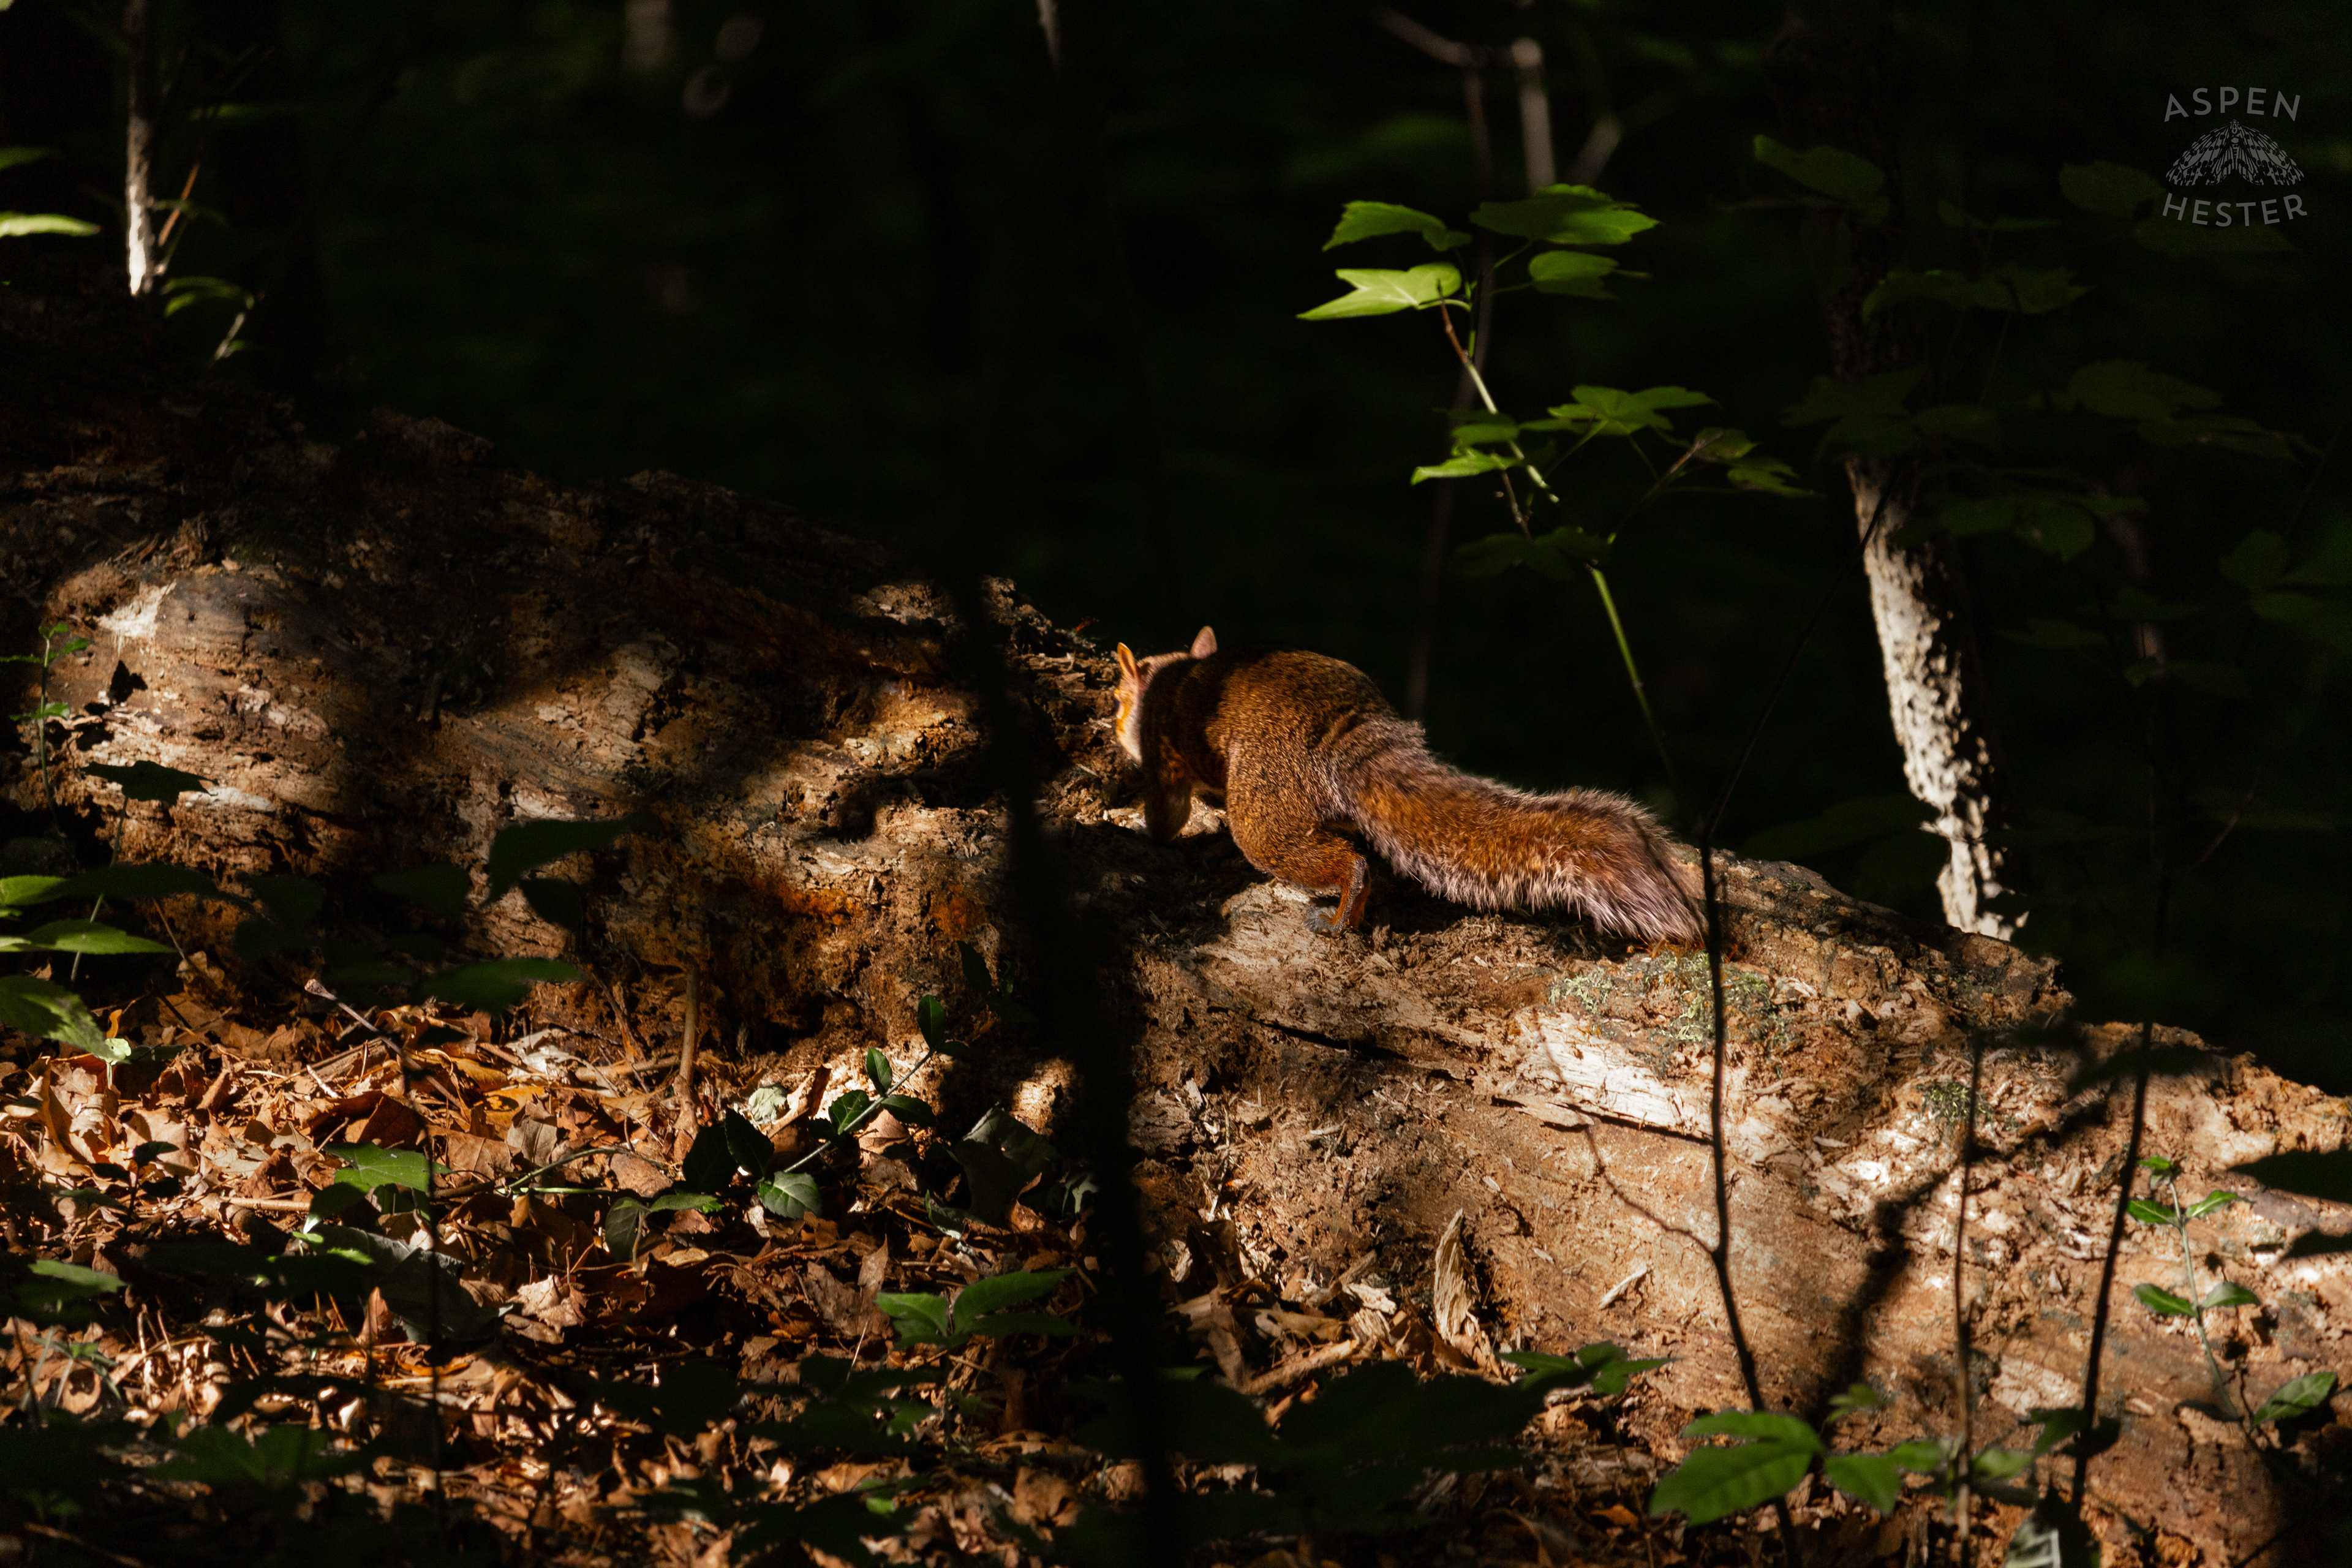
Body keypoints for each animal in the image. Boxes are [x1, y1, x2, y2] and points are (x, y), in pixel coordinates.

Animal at [1112, 627, 1703, 943]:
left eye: (1118, 697)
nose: (1113, 723)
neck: (1177, 674)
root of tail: (1351, 733)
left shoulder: (1162, 752)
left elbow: (1167, 815)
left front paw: (1138, 826)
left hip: (1265, 808)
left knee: (1341, 862)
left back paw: (1341, 916)